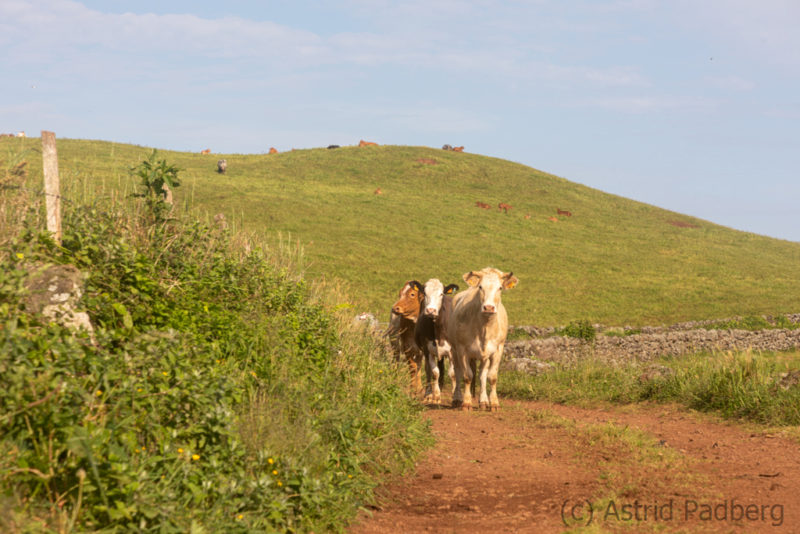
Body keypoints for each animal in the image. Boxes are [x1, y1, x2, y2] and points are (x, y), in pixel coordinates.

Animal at [450, 266, 520, 412]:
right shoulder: (462, 350)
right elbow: (467, 376)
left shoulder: (498, 349)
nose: (489, 307)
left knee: (482, 374)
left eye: (500, 287)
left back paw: (483, 401)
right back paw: (457, 398)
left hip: (485, 356)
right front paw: (466, 403)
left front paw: (494, 403)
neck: (484, 328)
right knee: (457, 372)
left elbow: (491, 377)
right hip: (453, 349)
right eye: (481, 287)